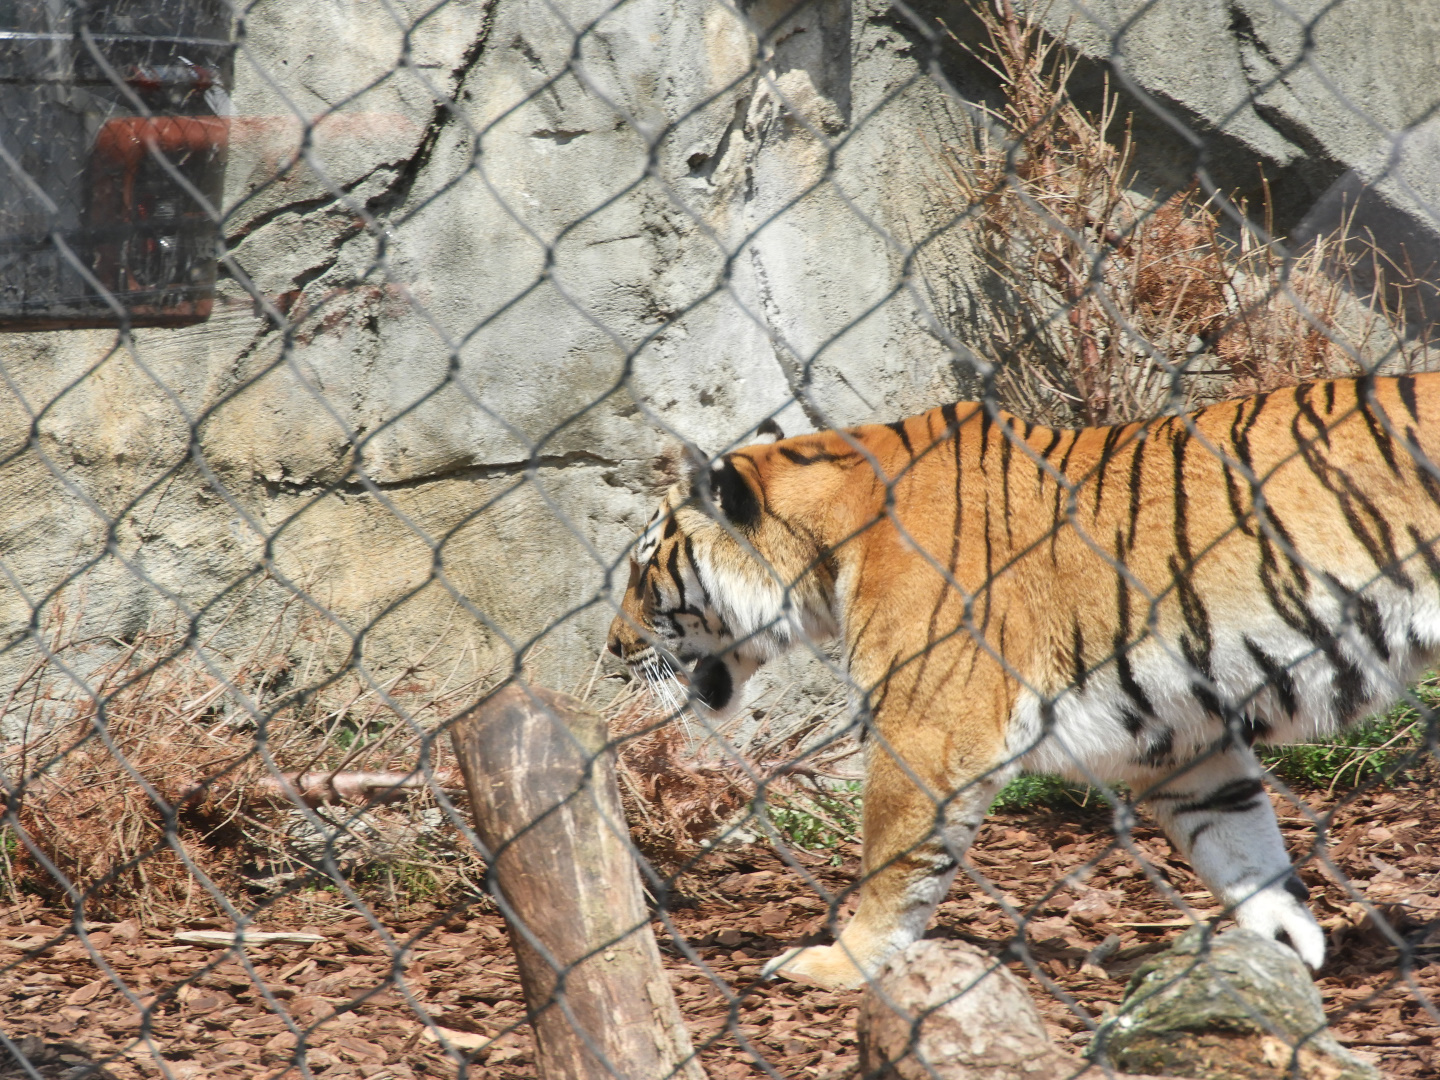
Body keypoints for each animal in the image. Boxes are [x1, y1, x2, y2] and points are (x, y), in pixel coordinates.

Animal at [606, 375, 1440, 989]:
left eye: (643, 573)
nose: (613, 650)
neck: (829, 546)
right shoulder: (1182, 740)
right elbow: (1242, 848)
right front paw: (1283, 947)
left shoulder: (926, 727)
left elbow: (892, 862)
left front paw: (841, 963)